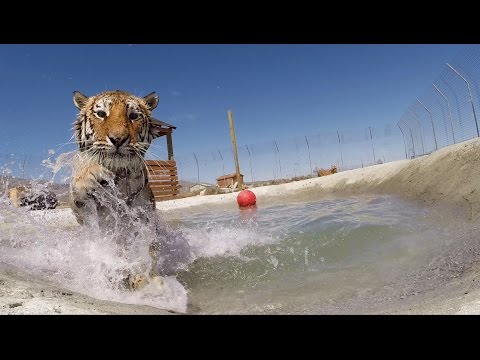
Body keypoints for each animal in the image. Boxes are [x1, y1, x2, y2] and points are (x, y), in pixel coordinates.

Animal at [70, 89, 190, 290]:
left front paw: (146, 279)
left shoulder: (145, 216)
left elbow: (146, 250)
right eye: (101, 114)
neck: (119, 176)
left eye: (133, 116)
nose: (118, 139)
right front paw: (90, 174)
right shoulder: (85, 213)